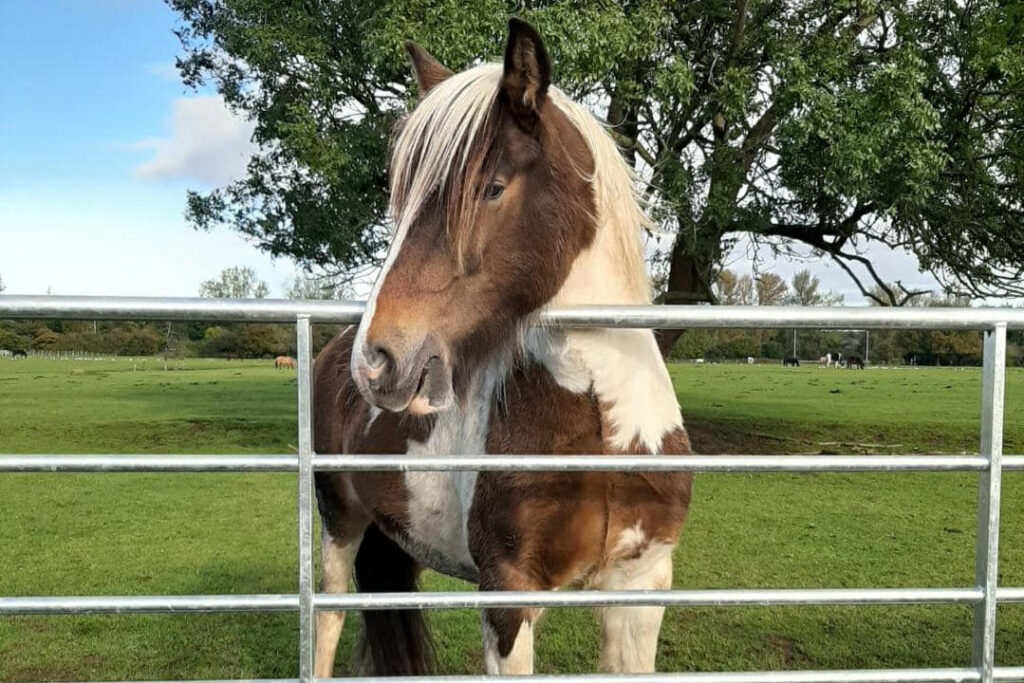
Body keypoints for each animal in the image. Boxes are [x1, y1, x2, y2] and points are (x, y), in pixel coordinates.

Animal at [312, 20, 693, 677]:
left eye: (492, 188)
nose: (377, 361)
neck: (601, 429)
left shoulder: (641, 588)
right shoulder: (509, 596)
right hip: (340, 522)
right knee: (328, 622)